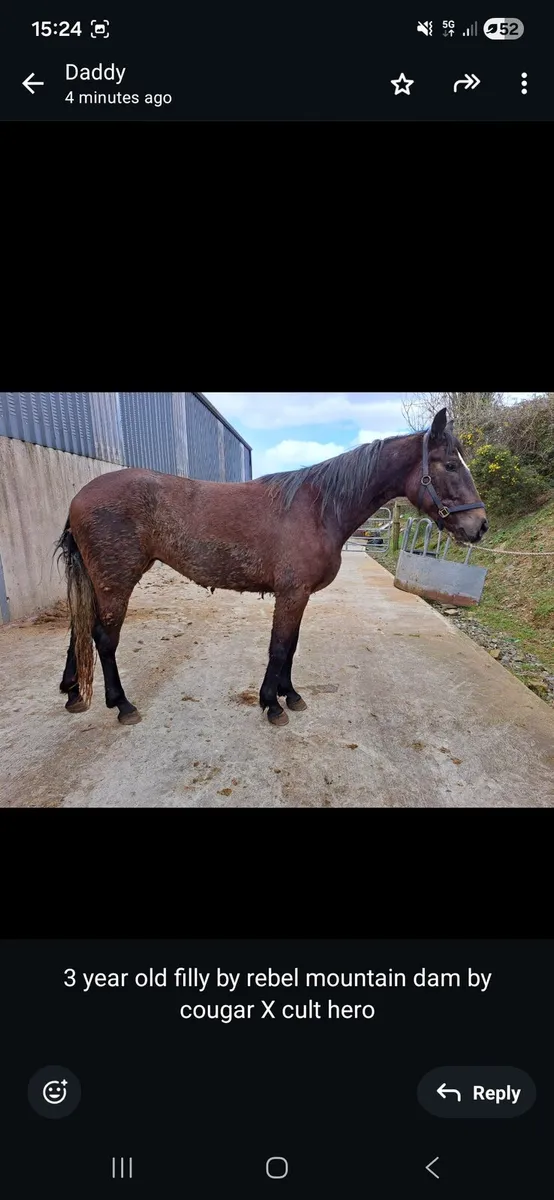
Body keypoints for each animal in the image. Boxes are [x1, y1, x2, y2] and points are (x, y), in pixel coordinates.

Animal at [55, 407, 487, 728]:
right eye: (451, 465)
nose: (480, 526)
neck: (318, 507)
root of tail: (78, 498)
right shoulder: (292, 593)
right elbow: (279, 647)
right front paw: (272, 704)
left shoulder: (299, 595)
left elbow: (291, 646)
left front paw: (289, 695)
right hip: (116, 581)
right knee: (103, 638)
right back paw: (122, 705)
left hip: (96, 580)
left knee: (79, 629)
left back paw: (73, 693)